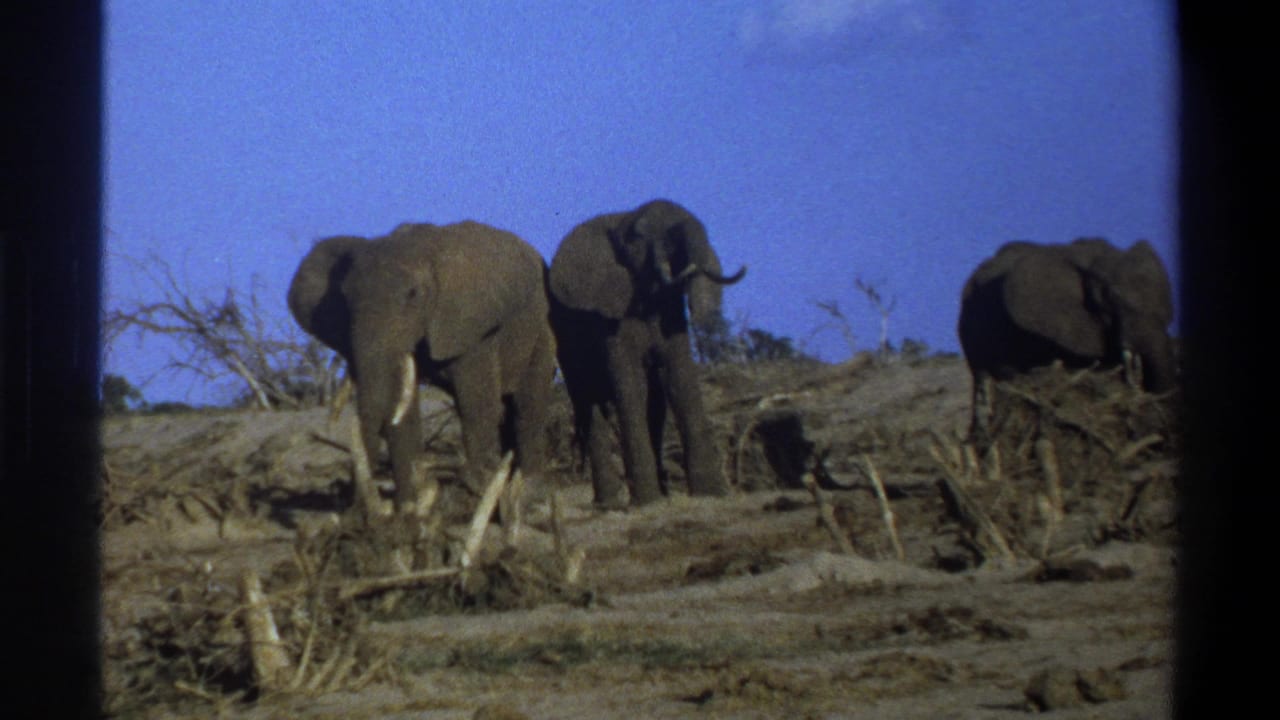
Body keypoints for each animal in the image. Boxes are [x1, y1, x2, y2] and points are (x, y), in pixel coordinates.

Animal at [287, 220, 556, 517]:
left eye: (412, 295)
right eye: (344, 298)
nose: (355, 509)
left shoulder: (470, 325)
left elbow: (475, 400)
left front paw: (474, 491)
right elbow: (404, 410)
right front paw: (409, 509)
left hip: (543, 329)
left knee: (529, 402)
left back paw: (528, 495)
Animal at [548, 199, 746, 508]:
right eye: (638, 238)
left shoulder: (670, 311)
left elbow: (679, 379)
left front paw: (712, 494)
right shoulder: (608, 313)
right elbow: (631, 385)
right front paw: (646, 502)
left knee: (654, 405)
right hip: (564, 339)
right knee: (587, 402)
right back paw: (610, 504)